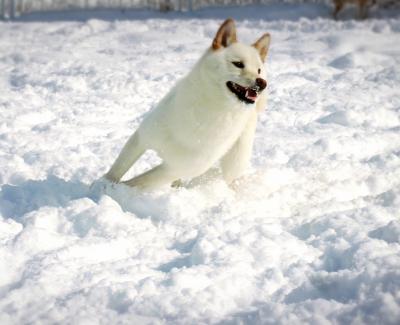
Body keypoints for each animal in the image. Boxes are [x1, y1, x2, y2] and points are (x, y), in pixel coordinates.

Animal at [104, 18, 270, 190]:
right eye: (238, 64)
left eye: (258, 70)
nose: (262, 82)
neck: (210, 106)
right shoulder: (142, 138)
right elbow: (118, 168)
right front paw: (104, 184)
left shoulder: (173, 168)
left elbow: (136, 182)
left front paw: (116, 191)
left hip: (235, 161)